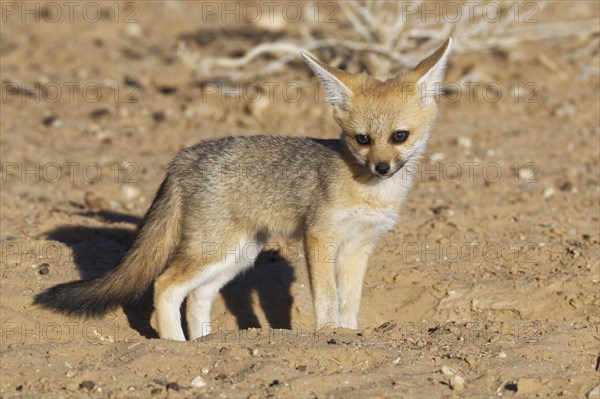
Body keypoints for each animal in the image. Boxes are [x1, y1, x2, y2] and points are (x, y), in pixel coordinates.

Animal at [34, 39, 450, 342]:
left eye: (399, 137)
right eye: (362, 139)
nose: (382, 167)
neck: (370, 192)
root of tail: (186, 156)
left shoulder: (360, 246)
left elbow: (350, 300)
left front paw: (348, 333)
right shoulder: (320, 236)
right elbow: (327, 296)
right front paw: (326, 333)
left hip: (238, 253)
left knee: (197, 296)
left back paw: (204, 343)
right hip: (215, 249)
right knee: (166, 285)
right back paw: (176, 345)